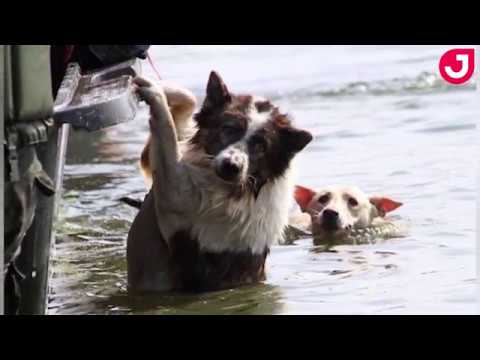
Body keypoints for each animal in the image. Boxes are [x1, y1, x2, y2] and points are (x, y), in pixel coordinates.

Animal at [126, 72, 312, 292]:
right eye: (229, 129)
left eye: (261, 146)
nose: (232, 166)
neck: (246, 189)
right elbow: (188, 102)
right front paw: (165, 88)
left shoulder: (175, 204)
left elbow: (168, 135)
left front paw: (156, 94)